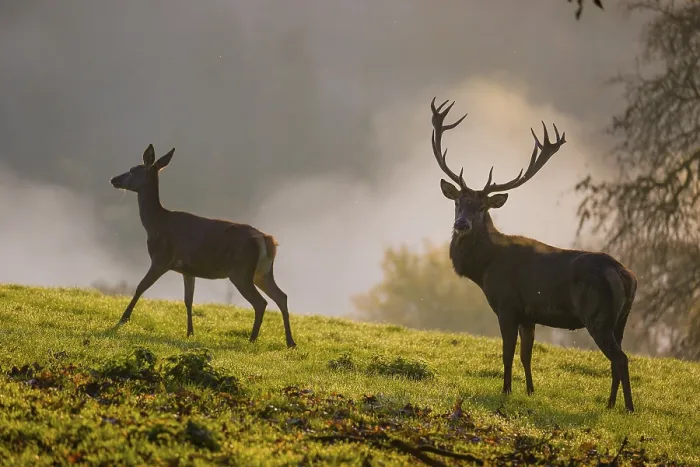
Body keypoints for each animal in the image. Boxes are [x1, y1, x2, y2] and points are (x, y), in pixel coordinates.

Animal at [109, 144, 296, 348]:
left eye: (133, 170)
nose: (113, 179)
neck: (155, 225)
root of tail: (267, 240)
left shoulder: (161, 259)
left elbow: (140, 287)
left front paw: (123, 319)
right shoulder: (187, 269)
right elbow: (188, 300)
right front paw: (190, 332)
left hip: (241, 271)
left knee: (261, 302)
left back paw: (253, 338)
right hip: (262, 272)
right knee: (282, 296)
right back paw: (290, 342)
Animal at [429, 98, 637, 412]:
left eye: (482, 207)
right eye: (457, 203)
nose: (461, 224)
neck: (484, 269)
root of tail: (627, 277)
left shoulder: (507, 305)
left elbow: (507, 353)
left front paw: (505, 391)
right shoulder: (529, 314)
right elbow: (527, 355)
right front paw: (529, 390)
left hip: (598, 314)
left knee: (620, 358)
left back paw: (628, 407)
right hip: (621, 319)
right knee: (618, 358)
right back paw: (611, 405)